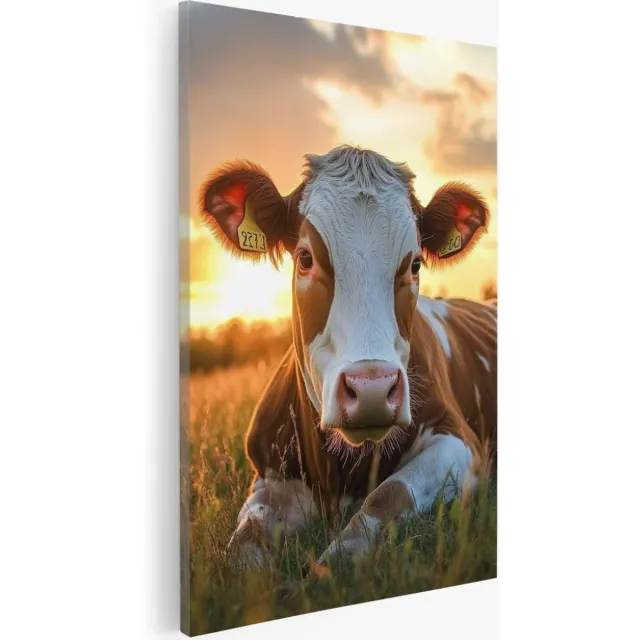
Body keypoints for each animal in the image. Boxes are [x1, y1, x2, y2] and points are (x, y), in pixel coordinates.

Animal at [199, 145, 497, 569]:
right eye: (305, 257)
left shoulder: (461, 440)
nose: (372, 390)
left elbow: (387, 497)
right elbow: (244, 544)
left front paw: (332, 565)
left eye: (415, 264)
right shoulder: (269, 475)